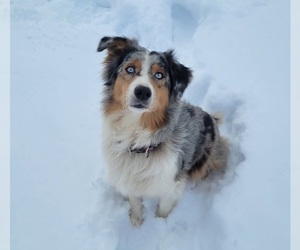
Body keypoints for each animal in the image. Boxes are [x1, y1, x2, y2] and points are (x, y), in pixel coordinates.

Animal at [96, 36, 227, 227]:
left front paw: (159, 223)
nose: (142, 92)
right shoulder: (127, 177)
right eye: (129, 69)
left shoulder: (171, 184)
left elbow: (164, 207)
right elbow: (135, 201)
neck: (138, 139)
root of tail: (211, 118)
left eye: (159, 75)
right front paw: (136, 220)